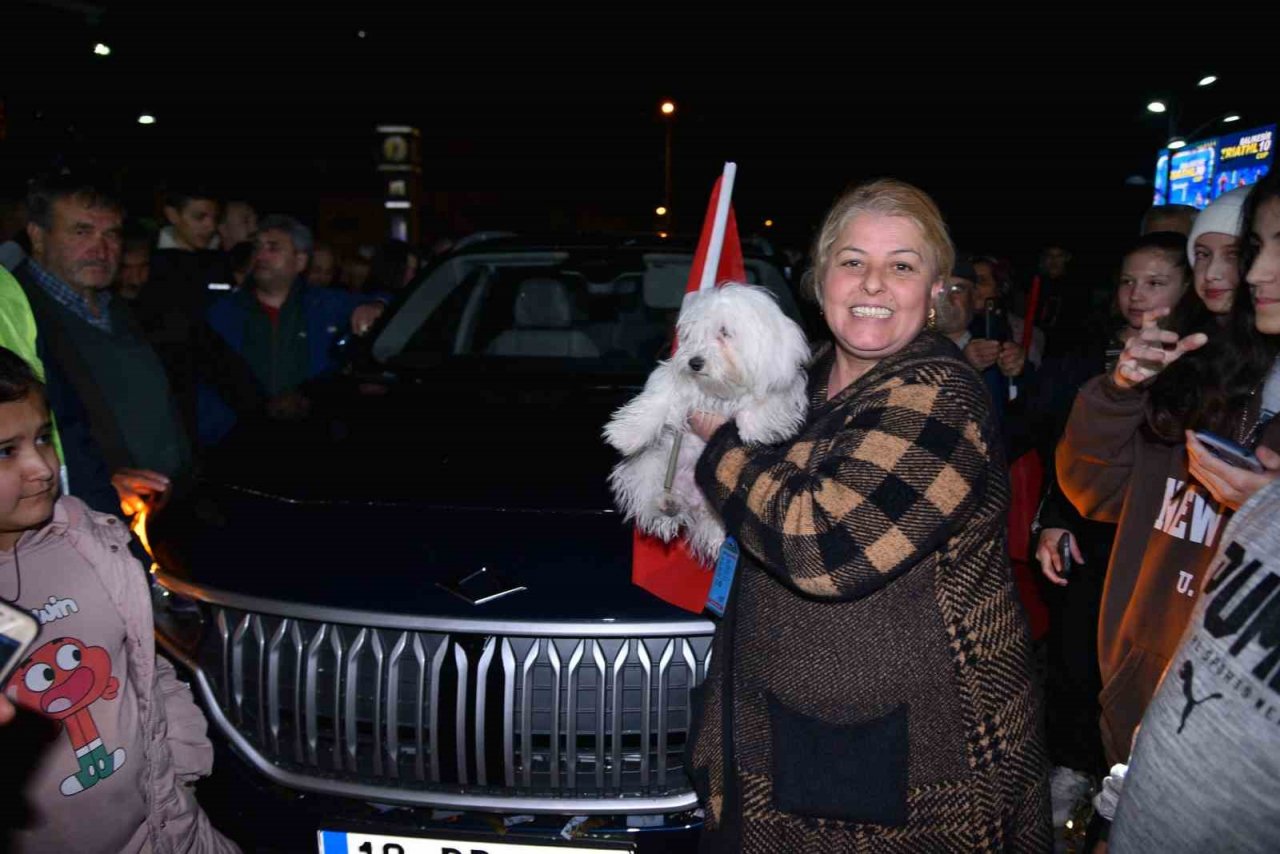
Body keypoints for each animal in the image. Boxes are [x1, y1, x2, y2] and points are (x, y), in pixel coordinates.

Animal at [601, 284, 803, 563]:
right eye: (693, 335)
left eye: (724, 332)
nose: (694, 362)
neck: (720, 390)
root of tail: (694, 501)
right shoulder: (674, 380)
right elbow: (658, 400)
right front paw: (628, 434)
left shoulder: (782, 381)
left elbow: (765, 400)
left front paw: (754, 428)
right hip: (652, 462)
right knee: (649, 494)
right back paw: (667, 505)